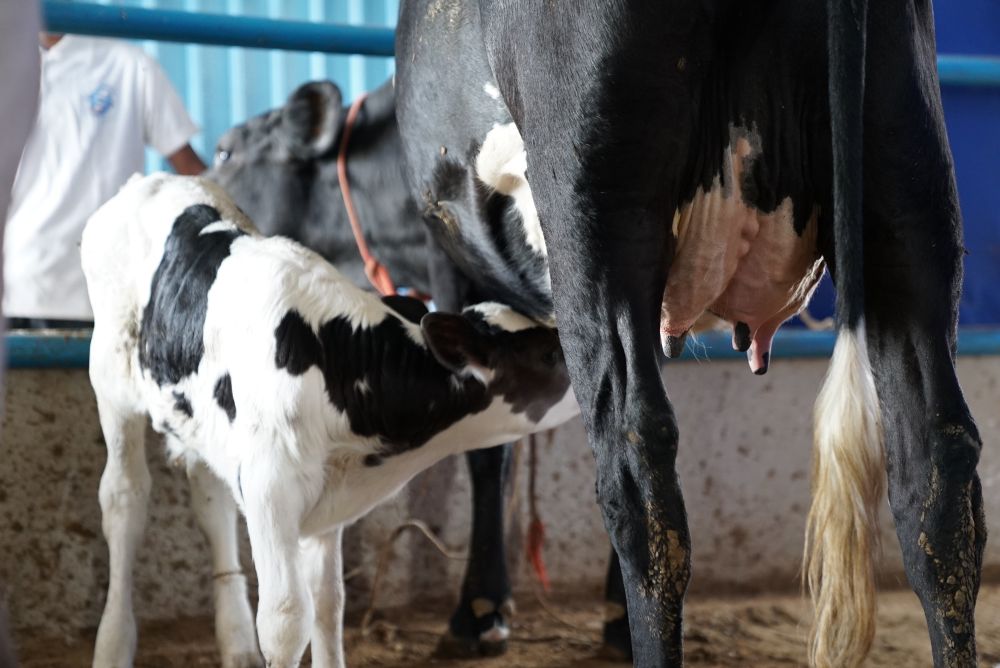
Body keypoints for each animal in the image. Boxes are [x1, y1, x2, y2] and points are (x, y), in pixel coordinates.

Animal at [81, 173, 578, 667]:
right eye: (548, 355)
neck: (336, 358)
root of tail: (148, 180)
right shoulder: (270, 490)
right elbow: (286, 621)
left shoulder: (326, 502)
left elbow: (329, 603)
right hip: (111, 382)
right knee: (124, 500)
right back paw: (113, 645)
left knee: (212, 502)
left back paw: (236, 643)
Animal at [394, 1, 984, 666]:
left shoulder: (449, 244)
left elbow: (487, 447)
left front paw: (480, 610)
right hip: (908, 189)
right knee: (937, 467)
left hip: (596, 204)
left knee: (636, 460)